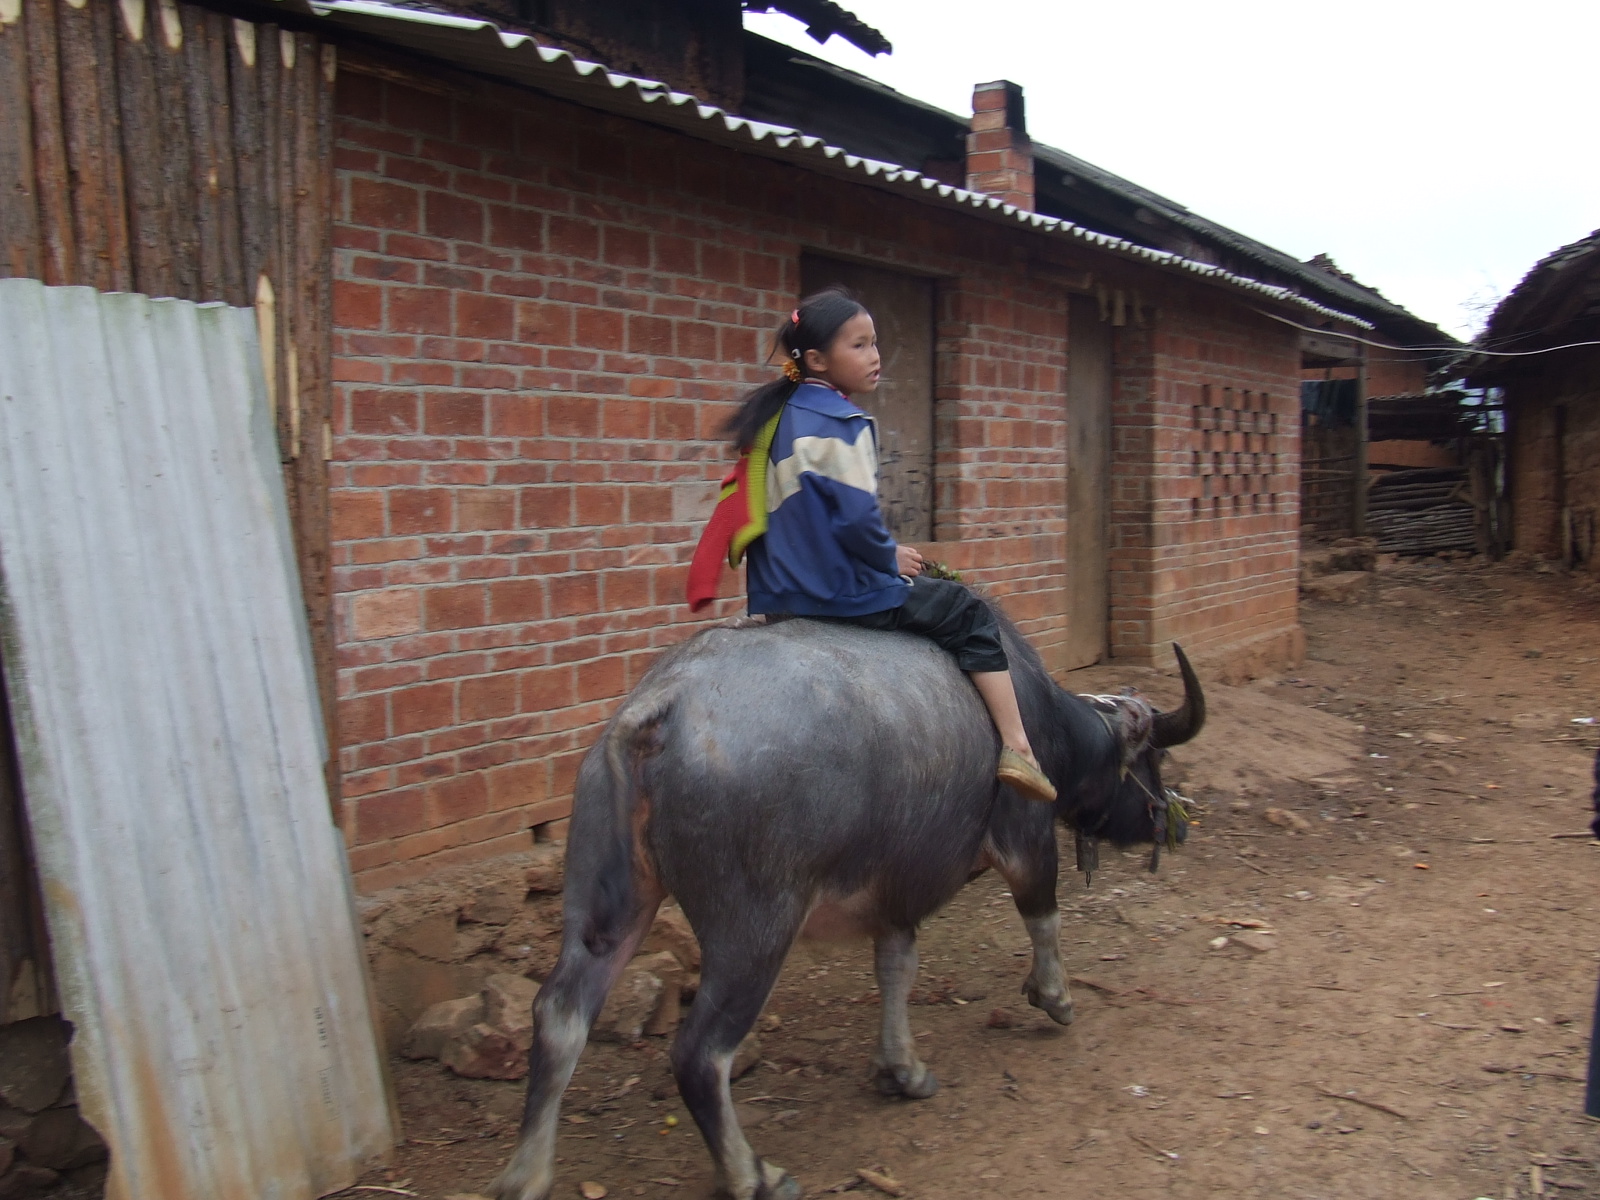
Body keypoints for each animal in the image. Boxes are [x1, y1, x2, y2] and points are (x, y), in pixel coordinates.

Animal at [492, 601, 1203, 1200]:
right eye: (1153, 762)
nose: (1177, 822)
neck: (1043, 721)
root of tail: (661, 707)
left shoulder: (896, 885)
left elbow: (897, 967)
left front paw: (901, 1070)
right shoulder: (1026, 840)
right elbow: (1043, 916)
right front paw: (1056, 998)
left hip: (608, 902)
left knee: (560, 1014)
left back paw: (527, 1175)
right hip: (754, 928)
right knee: (699, 1053)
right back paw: (754, 1175)